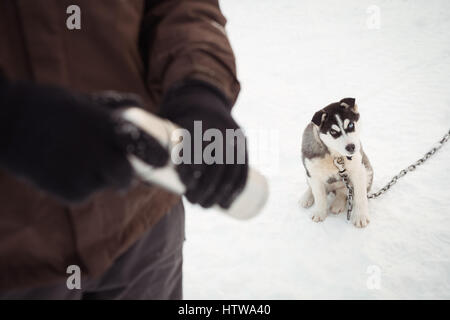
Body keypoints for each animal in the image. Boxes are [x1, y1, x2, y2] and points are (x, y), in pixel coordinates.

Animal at [302, 98, 372, 228]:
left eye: (350, 125)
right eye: (333, 132)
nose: (351, 147)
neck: (335, 156)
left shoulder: (358, 170)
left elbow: (360, 197)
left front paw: (361, 217)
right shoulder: (312, 172)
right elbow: (319, 196)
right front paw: (319, 213)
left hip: (367, 170)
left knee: (343, 191)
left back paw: (338, 204)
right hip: (308, 172)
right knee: (313, 187)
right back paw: (306, 197)